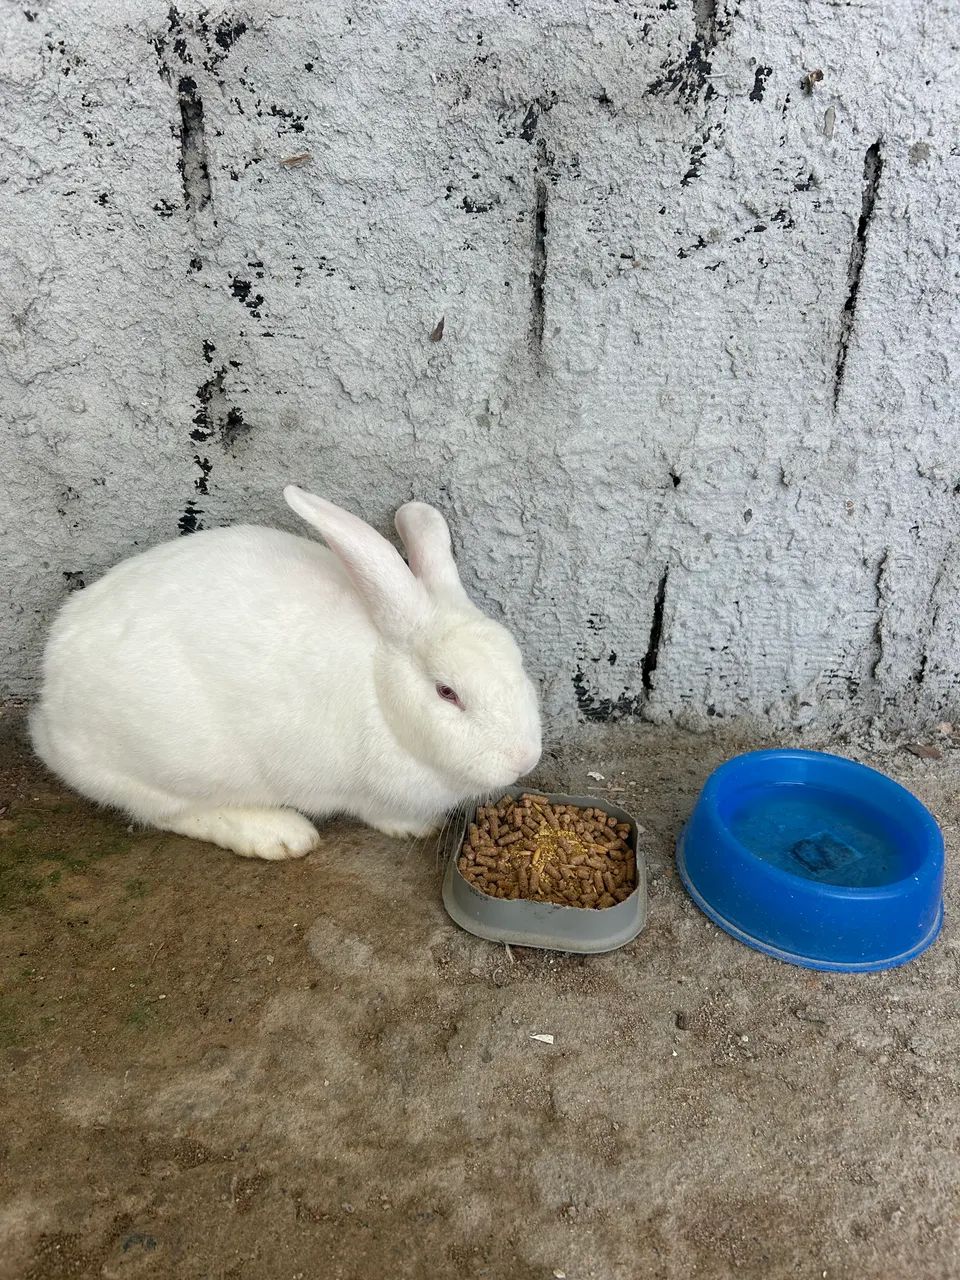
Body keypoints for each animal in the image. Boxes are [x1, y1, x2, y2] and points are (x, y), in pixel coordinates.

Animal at [30, 486, 542, 860]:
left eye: (518, 663)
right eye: (447, 692)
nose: (524, 759)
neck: (381, 691)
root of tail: (49, 709)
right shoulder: (370, 793)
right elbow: (382, 813)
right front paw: (418, 827)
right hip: (179, 761)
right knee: (167, 810)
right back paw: (279, 834)